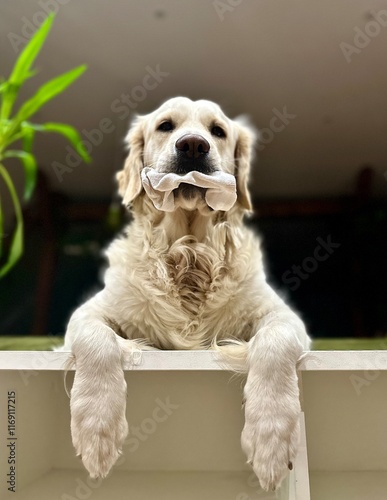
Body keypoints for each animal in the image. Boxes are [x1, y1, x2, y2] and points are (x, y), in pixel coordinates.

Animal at [63, 95, 312, 490]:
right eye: (166, 125)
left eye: (218, 131)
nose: (193, 145)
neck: (189, 252)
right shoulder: (90, 313)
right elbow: (96, 341)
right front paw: (96, 430)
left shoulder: (282, 317)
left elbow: (275, 344)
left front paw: (270, 438)